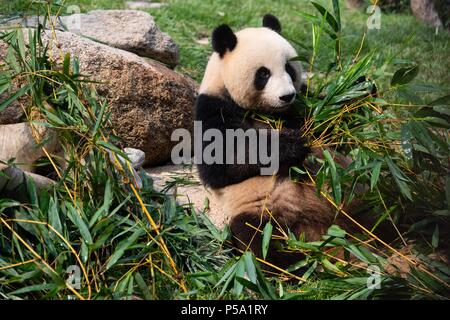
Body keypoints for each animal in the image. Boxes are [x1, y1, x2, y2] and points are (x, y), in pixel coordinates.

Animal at [195, 13, 356, 268]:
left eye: (289, 68)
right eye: (263, 74)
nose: (287, 96)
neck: (270, 113)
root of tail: (323, 232)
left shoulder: (303, 103)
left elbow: (330, 115)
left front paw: (360, 89)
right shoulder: (213, 107)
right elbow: (220, 161)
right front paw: (292, 145)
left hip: (352, 189)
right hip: (265, 212)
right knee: (256, 236)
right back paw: (292, 261)